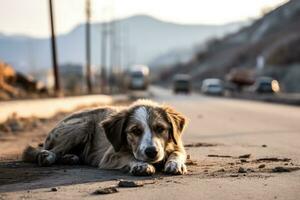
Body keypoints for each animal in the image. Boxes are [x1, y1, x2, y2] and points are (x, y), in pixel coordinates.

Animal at [22, 99, 188, 176]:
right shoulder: (111, 154)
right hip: (84, 125)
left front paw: (175, 164)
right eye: (135, 131)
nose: (152, 152)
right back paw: (47, 156)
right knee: (50, 150)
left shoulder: (178, 146)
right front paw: (140, 165)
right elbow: (128, 156)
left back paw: (71, 158)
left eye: (160, 129)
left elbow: (178, 153)